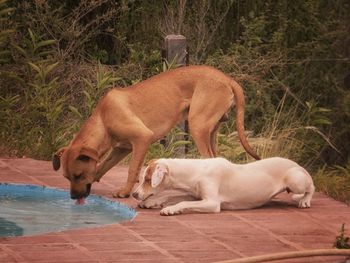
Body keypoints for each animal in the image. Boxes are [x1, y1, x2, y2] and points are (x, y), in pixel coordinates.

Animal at [52, 65, 260, 202]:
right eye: (67, 177)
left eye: (78, 175)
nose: (73, 197)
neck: (103, 119)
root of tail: (226, 78)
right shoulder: (121, 148)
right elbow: (102, 166)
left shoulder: (142, 138)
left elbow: (132, 169)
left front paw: (126, 191)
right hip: (210, 131)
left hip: (197, 126)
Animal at [133, 157, 316, 217]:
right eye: (142, 179)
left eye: (148, 179)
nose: (134, 194)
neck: (196, 170)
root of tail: (298, 165)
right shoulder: (195, 195)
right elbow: (172, 196)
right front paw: (151, 202)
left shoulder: (212, 203)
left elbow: (182, 202)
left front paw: (169, 210)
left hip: (295, 180)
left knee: (311, 188)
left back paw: (304, 200)